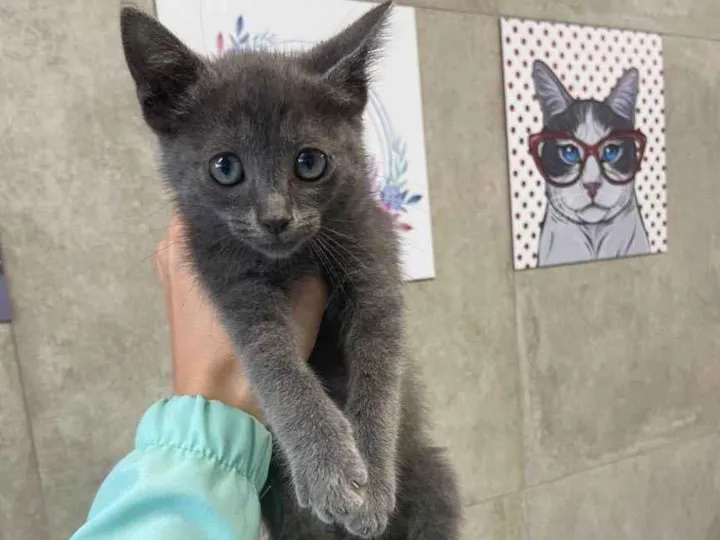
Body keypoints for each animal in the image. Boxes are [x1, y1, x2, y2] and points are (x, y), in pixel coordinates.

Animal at [120, 3, 460, 539]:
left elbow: (380, 369)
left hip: (433, 478)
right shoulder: (225, 277)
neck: (295, 257)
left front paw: (373, 480)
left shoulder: (373, 255)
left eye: (310, 162)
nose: (275, 218)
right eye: (224, 168)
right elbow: (273, 363)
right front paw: (330, 468)